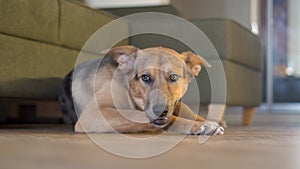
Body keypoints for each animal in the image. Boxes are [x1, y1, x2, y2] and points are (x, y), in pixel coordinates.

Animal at [58, 45, 224, 135]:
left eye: (173, 77)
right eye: (145, 77)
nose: (160, 110)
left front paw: (206, 122)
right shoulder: (93, 114)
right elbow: (148, 118)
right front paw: (197, 126)